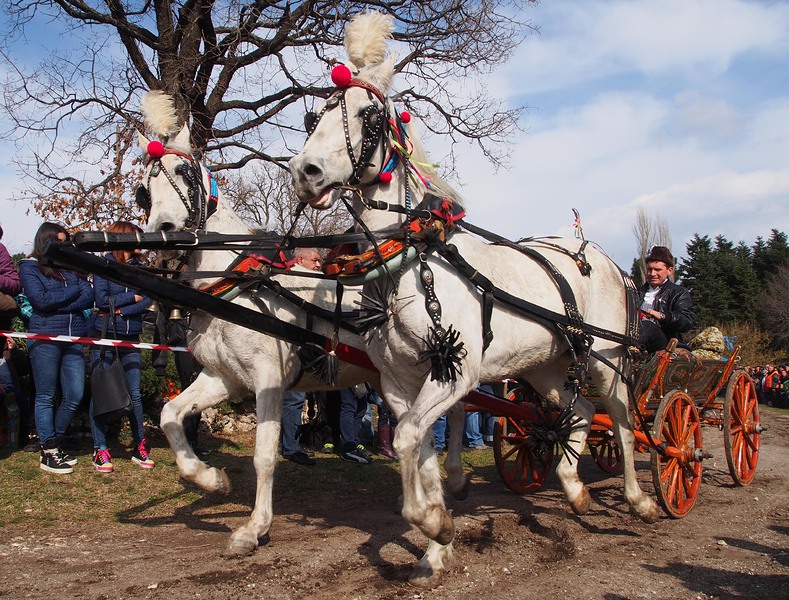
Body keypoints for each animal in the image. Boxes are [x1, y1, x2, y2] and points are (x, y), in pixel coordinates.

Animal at [137, 89, 406, 556]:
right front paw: (212, 479)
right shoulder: (225, 377)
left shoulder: (268, 380)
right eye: (143, 190)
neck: (233, 283)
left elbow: (264, 455)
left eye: (185, 172)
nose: (164, 232)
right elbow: (170, 414)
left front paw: (254, 527)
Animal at [290, 11, 660, 588]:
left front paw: (432, 524)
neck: (407, 262)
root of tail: (601, 256)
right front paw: (436, 544)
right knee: (576, 411)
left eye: (368, 116)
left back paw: (639, 500)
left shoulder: (454, 374)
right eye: (316, 115)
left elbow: (407, 442)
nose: (303, 172)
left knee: (622, 422)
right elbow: (418, 449)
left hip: (607, 359)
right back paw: (574, 488)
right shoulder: (400, 385)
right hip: (546, 367)